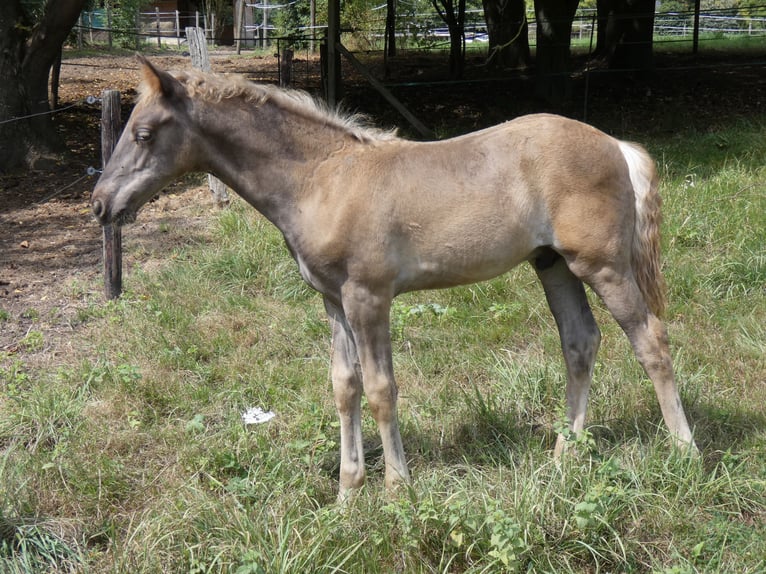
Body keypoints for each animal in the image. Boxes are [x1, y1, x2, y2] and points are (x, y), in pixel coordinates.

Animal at [91, 56, 697, 500]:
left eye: (143, 133)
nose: (100, 205)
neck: (321, 179)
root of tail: (617, 145)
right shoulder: (333, 302)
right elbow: (345, 386)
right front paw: (347, 490)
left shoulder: (368, 297)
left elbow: (382, 389)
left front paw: (397, 488)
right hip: (554, 265)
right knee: (580, 342)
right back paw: (564, 453)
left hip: (603, 265)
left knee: (651, 341)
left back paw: (684, 451)